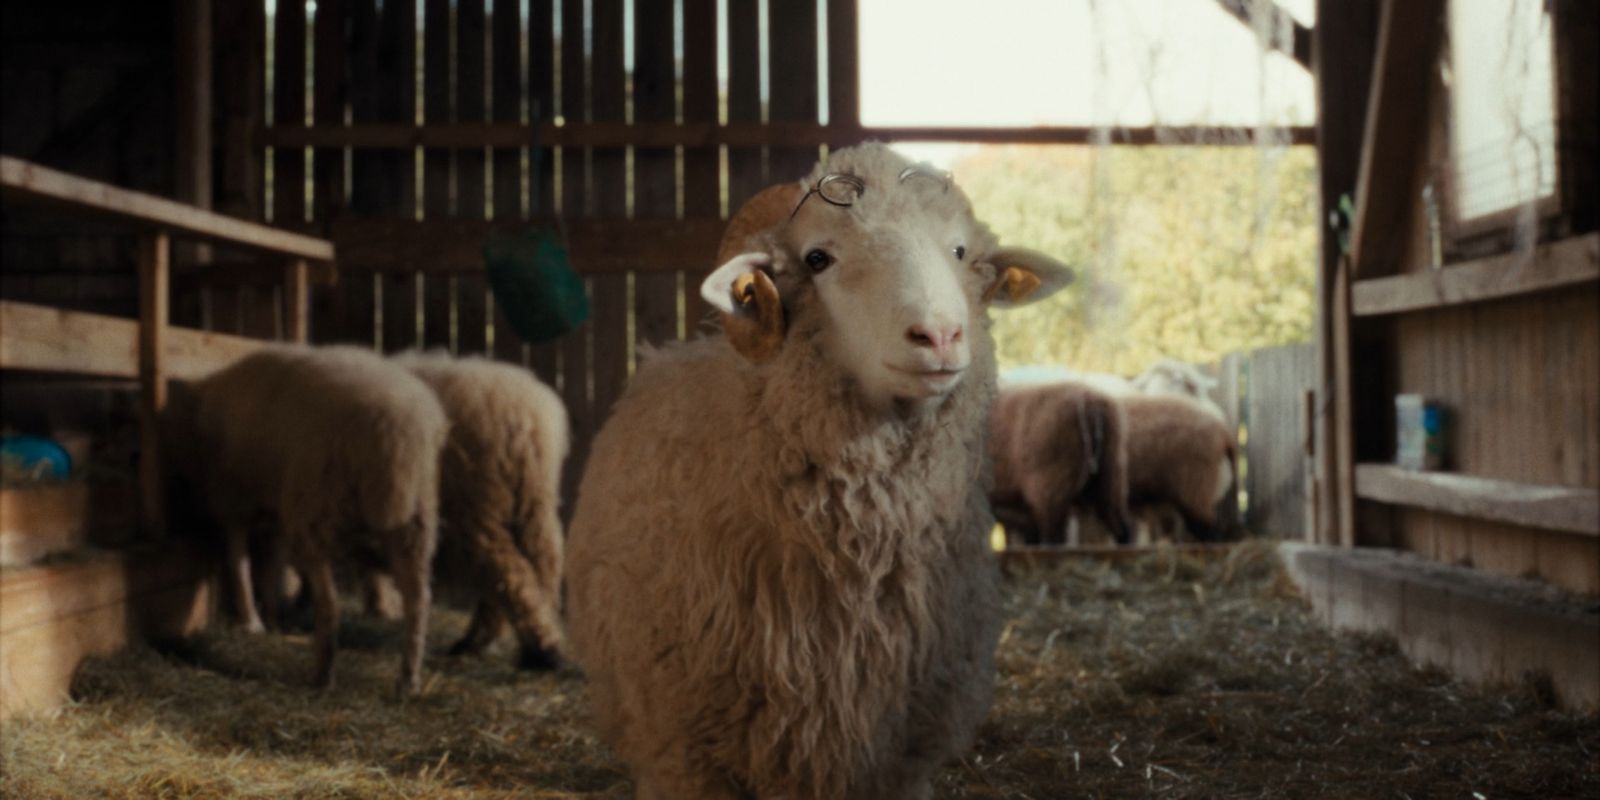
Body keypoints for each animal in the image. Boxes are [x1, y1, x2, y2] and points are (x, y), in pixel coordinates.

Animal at [162, 345, 446, 694]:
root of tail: (396, 430)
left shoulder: (236, 501)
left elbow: (239, 561)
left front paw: (253, 621)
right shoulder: (278, 512)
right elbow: (272, 566)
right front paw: (271, 618)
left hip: (317, 509)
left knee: (330, 604)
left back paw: (322, 676)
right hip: (416, 523)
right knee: (418, 602)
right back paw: (408, 680)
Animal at [392, 351, 569, 669]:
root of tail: (527, 419)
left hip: (474, 508)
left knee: (508, 573)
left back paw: (536, 650)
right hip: (533, 504)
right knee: (542, 564)